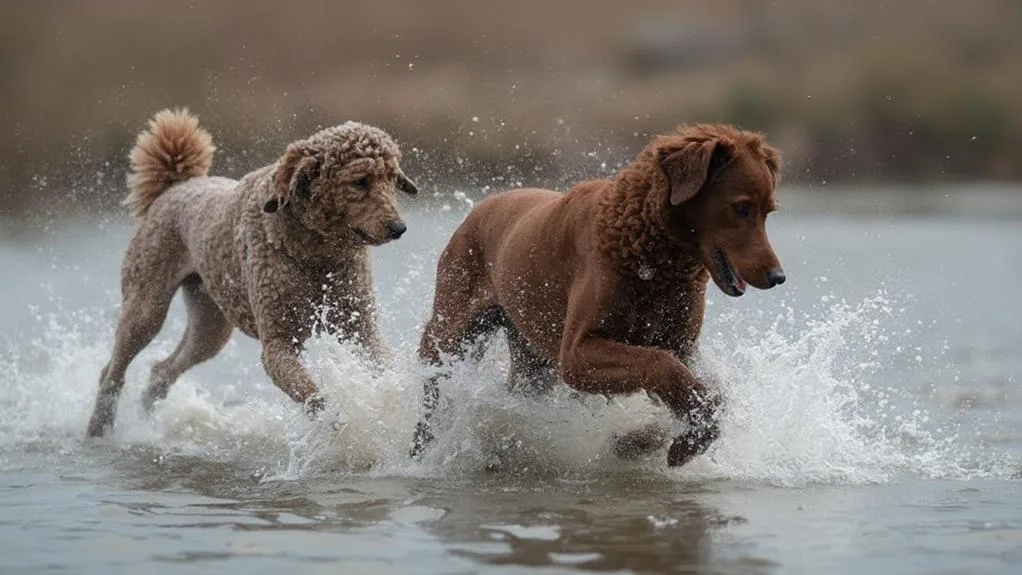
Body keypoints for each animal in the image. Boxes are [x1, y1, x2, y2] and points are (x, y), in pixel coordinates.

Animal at [85, 110, 416, 439]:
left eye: (392, 179)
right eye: (360, 181)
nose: (399, 228)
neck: (317, 255)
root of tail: (174, 187)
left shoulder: (359, 326)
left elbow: (382, 361)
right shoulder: (278, 343)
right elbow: (311, 393)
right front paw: (338, 423)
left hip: (210, 325)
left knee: (162, 370)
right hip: (146, 304)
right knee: (112, 371)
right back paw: (99, 426)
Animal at [410, 123, 784, 465]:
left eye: (768, 210)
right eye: (742, 207)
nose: (777, 275)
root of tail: (479, 208)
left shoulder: (682, 341)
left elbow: (712, 391)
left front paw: (650, 442)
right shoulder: (577, 351)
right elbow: (659, 363)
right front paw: (674, 440)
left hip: (531, 352)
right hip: (455, 318)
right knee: (434, 380)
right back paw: (421, 451)